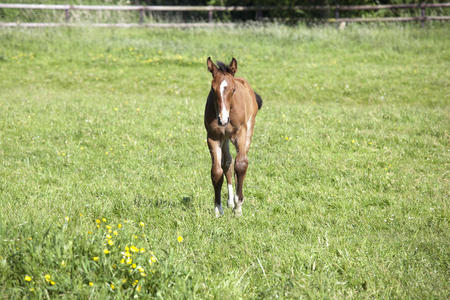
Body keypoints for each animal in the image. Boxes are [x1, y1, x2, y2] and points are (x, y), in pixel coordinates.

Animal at [203, 57, 262, 217]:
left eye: (233, 89)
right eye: (213, 89)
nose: (223, 119)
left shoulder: (240, 134)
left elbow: (241, 165)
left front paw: (238, 207)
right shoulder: (213, 138)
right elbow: (217, 171)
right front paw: (218, 208)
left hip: (248, 130)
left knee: (240, 161)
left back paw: (235, 201)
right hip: (225, 139)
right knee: (227, 163)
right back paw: (230, 201)